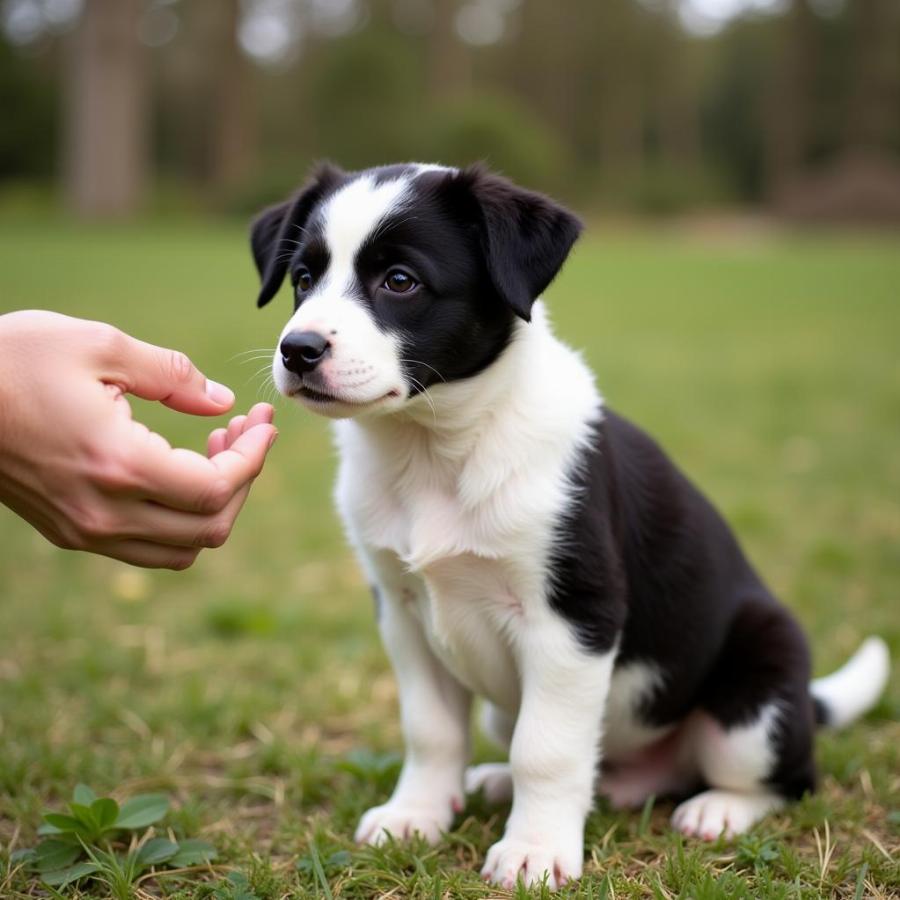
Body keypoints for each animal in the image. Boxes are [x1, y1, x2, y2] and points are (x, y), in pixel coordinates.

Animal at [250, 160, 888, 884]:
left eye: (400, 281)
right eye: (303, 278)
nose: (298, 350)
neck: (435, 449)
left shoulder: (573, 617)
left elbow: (547, 748)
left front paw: (534, 849)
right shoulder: (403, 610)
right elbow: (431, 730)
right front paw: (415, 816)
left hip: (753, 707)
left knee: (786, 778)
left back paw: (718, 810)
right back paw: (502, 782)